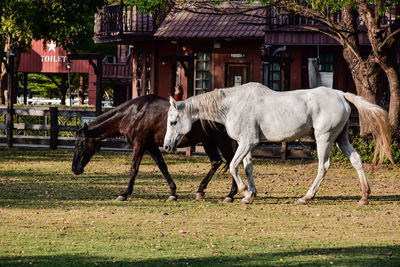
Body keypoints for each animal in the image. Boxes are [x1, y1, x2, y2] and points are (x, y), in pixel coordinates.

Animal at [72, 94, 238, 201]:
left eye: (79, 144)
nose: (75, 169)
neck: (133, 114)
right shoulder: (150, 146)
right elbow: (162, 165)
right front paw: (173, 192)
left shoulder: (139, 144)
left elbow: (134, 168)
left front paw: (125, 193)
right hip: (208, 141)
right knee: (216, 161)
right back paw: (201, 190)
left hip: (220, 140)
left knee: (231, 162)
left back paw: (230, 195)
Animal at [163, 83, 394, 205]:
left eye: (173, 121)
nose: (166, 146)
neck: (232, 105)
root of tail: (340, 94)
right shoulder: (246, 144)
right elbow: (247, 168)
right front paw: (251, 195)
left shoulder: (246, 142)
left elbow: (233, 166)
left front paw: (244, 193)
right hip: (341, 139)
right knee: (356, 160)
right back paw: (364, 196)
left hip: (324, 138)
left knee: (323, 166)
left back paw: (306, 197)